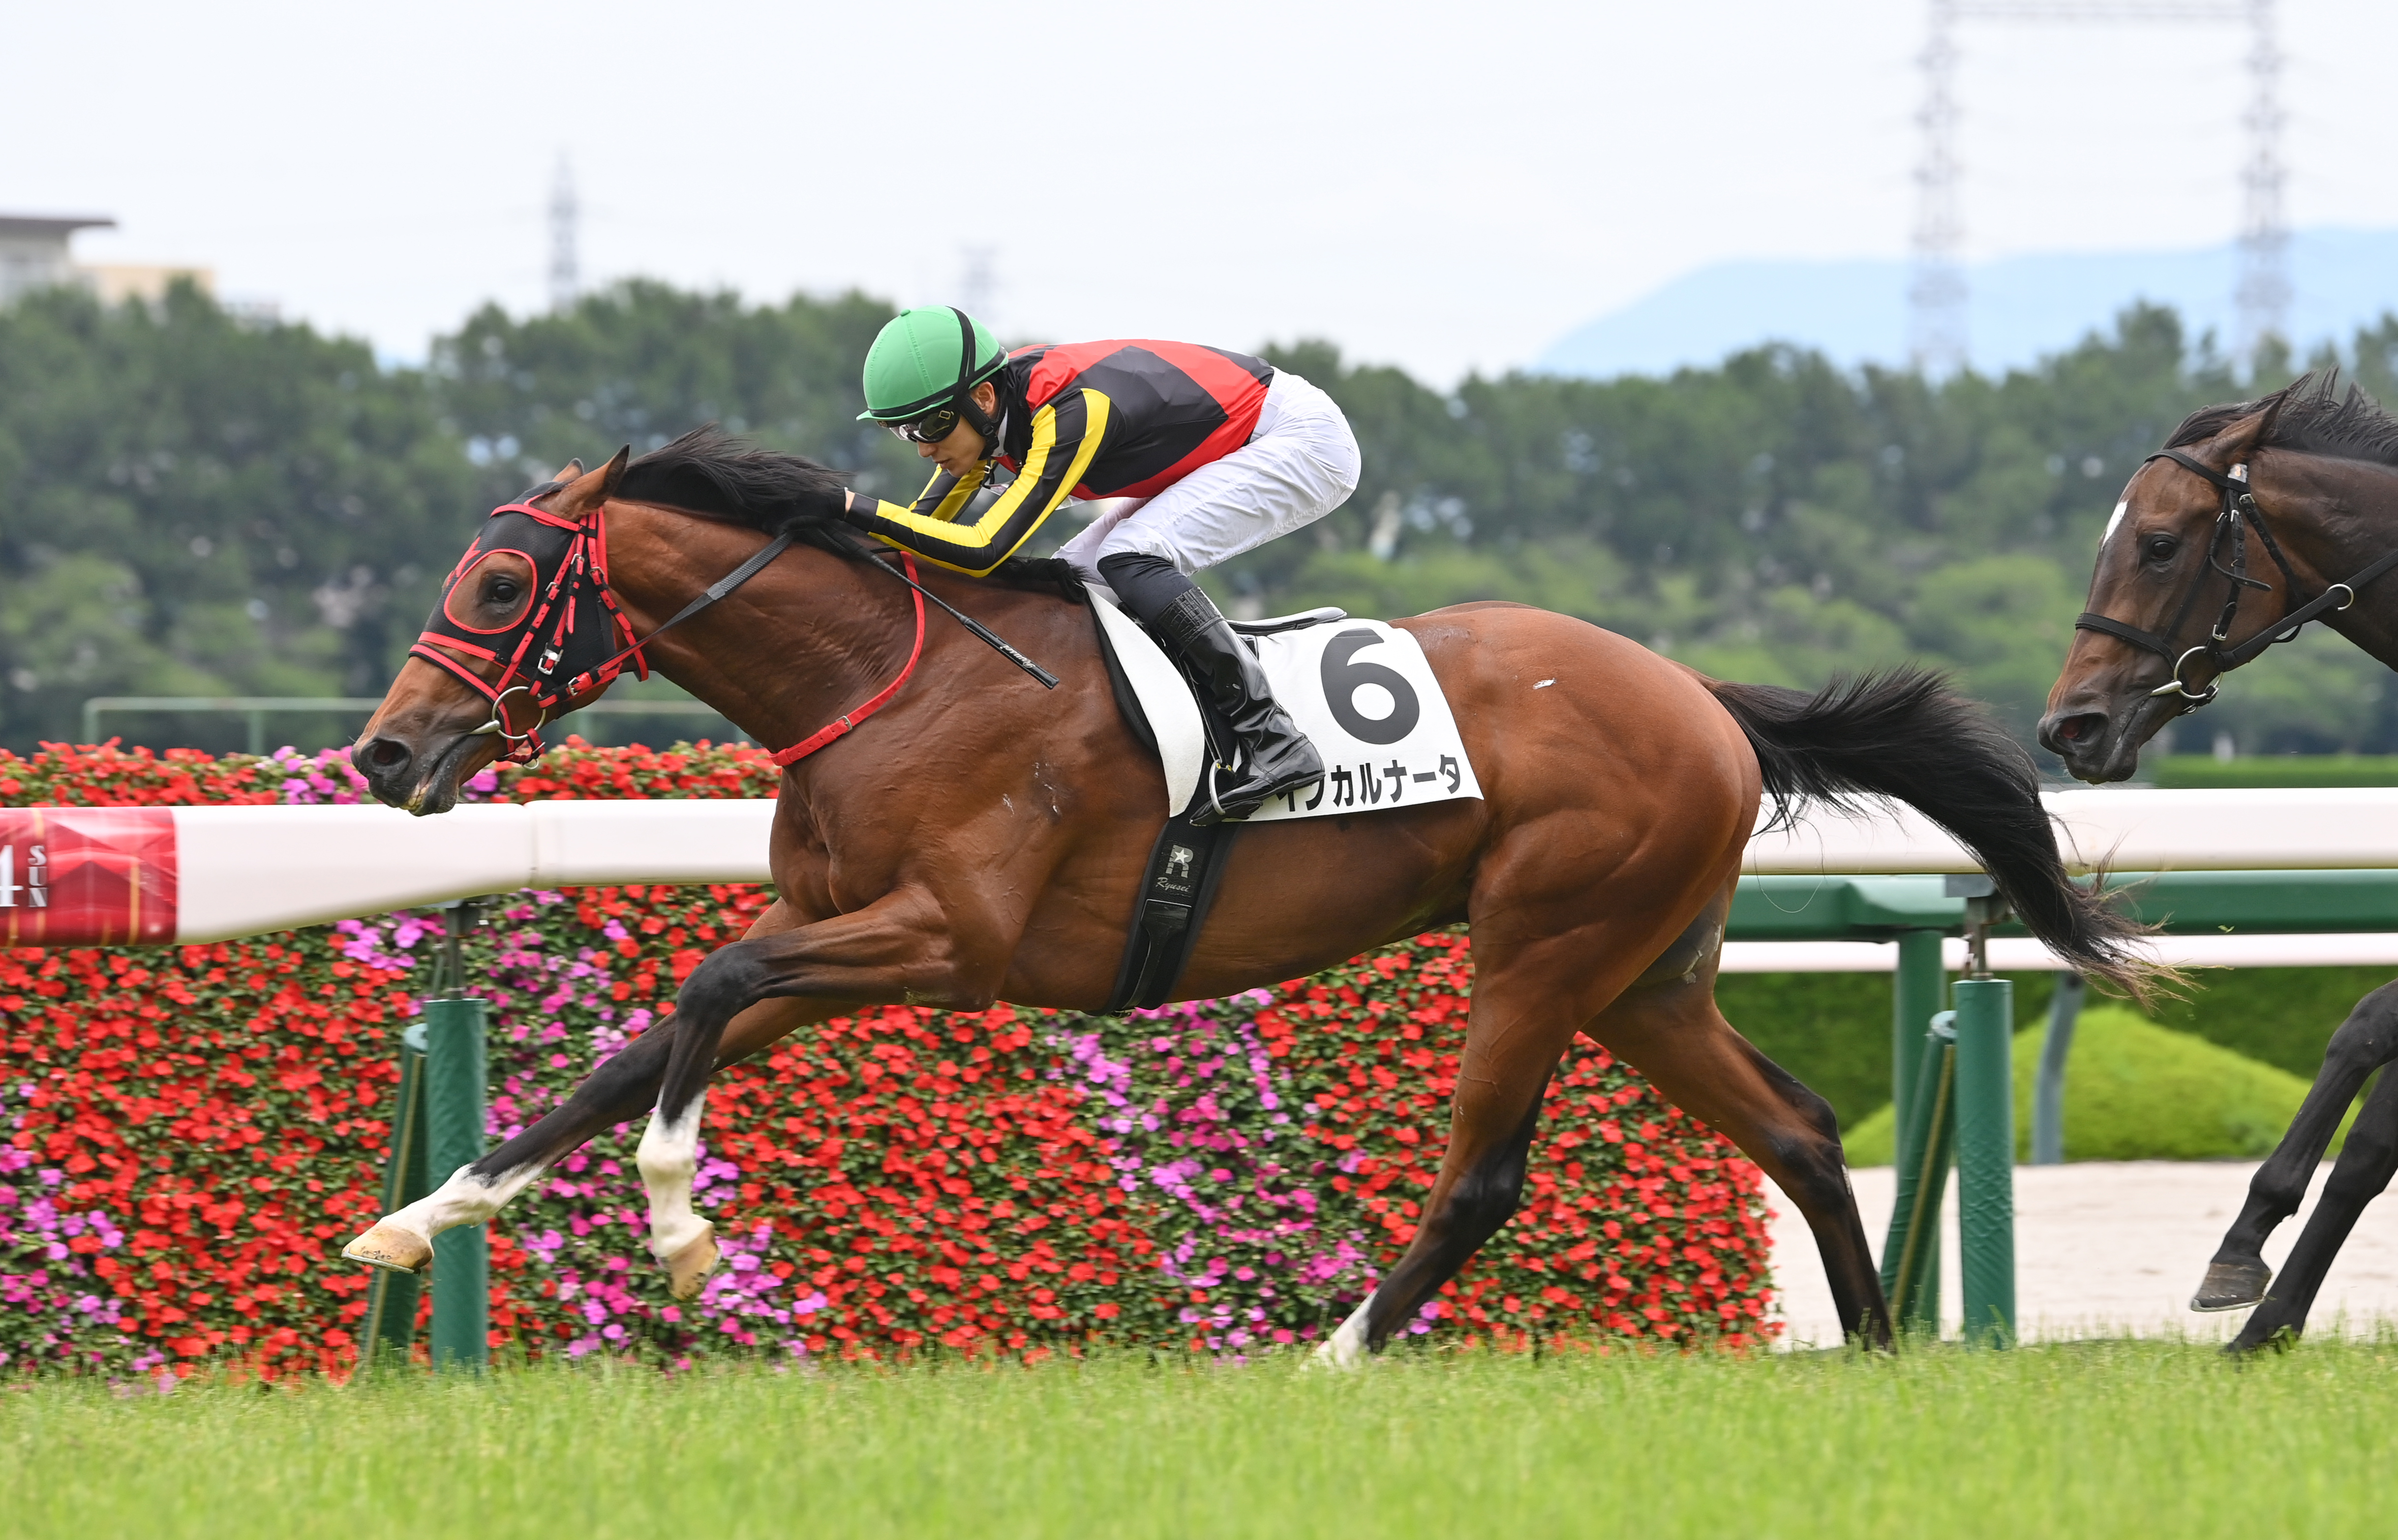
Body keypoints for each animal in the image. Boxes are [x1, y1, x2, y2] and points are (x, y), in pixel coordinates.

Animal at [344, 427, 2150, 1359]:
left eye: (497, 581)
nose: (385, 753)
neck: (888, 681)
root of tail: (1703, 697)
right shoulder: (834, 945)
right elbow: (635, 1051)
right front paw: (421, 1216)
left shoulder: (942, 945)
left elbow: (701, 1003)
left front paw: (673, 1223)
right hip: (1644, 974)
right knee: (1795, 1127)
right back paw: (1879, 1347)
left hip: (1541, 947)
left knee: (1483, 1176)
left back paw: (1334, 1353)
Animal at [2041, 374, 2398, 1352]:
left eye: (2159, 545)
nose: (2067, 727)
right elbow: (2362, 1031)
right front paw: (2242, 1255)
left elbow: (2372, 1129)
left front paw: (2266, 1315)